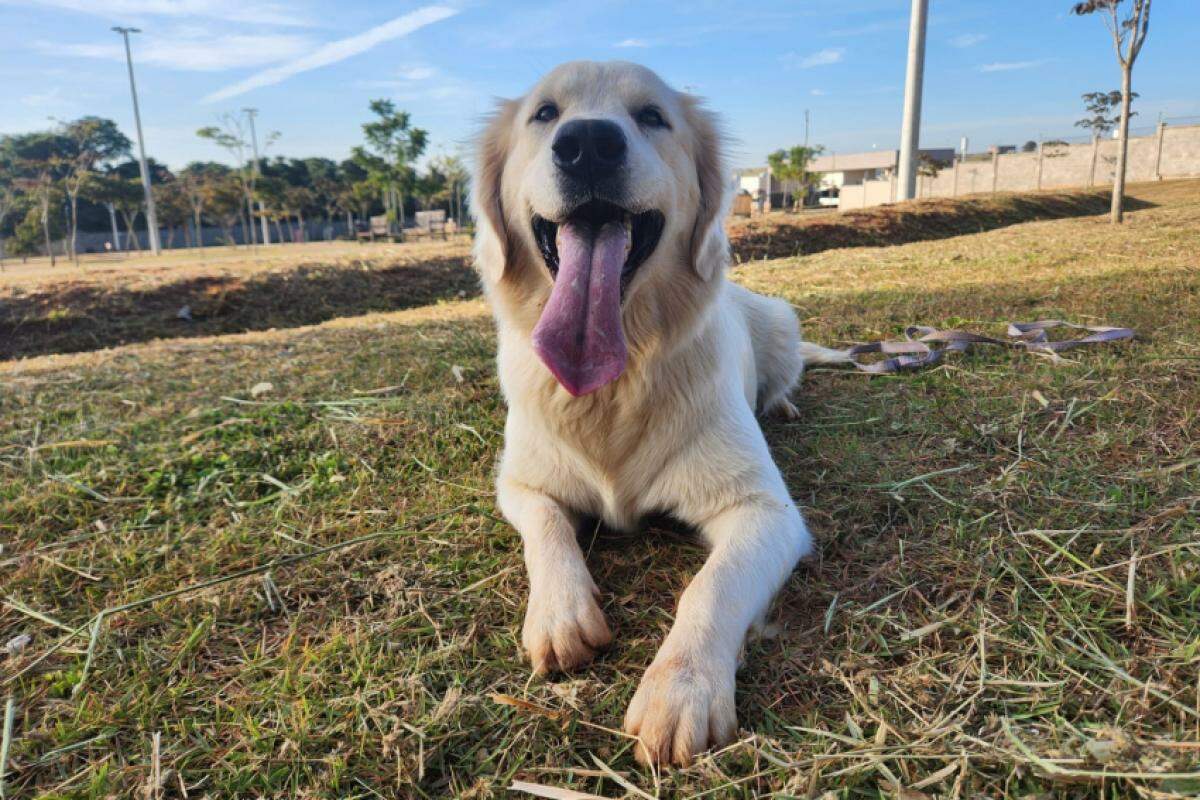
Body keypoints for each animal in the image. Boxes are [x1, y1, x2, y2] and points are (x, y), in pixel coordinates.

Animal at [470, 61, 844, 762]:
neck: (614, 384)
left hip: (782, 320)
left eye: (651, 116)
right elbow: (547, 532)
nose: (588, 144)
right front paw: (560, 613)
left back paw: (781, 404)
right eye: (544, 114)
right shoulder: (521, 482)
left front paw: (681, 688)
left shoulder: (765, 511)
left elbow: (711, 586)